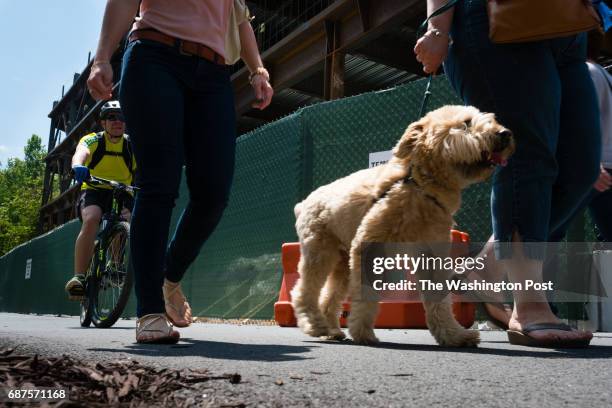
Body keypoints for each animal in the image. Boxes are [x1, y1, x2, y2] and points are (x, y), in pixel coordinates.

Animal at [290, 105, 512, 348]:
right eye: (466, 123)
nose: (505, 134)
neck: (420, 186)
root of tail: (303, 203)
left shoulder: (431, 255)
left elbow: (439, 301)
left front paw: (454, 335)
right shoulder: (368, 246)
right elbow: (367, 294)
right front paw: (362, 332)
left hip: (342, 262)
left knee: (328, 297)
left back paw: (331, 330)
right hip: (320, 252)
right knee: (304, 291)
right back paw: (314, 324)